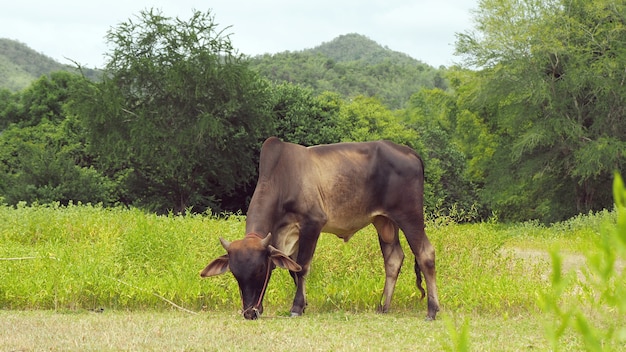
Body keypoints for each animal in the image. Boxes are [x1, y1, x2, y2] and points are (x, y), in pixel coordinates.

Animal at [201, 136, 438, 320]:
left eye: (260, 269)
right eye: (234, 274)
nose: (250, 313)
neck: (282, 179)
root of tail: (409, 151)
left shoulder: (312, 223)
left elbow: (302, 267)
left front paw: (296, 308)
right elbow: (293, 269)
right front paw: (303, 304)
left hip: (409, 215)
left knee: (425, 253)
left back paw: (432, 311)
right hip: (384, 221)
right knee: (393, 258)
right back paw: (383, 306)